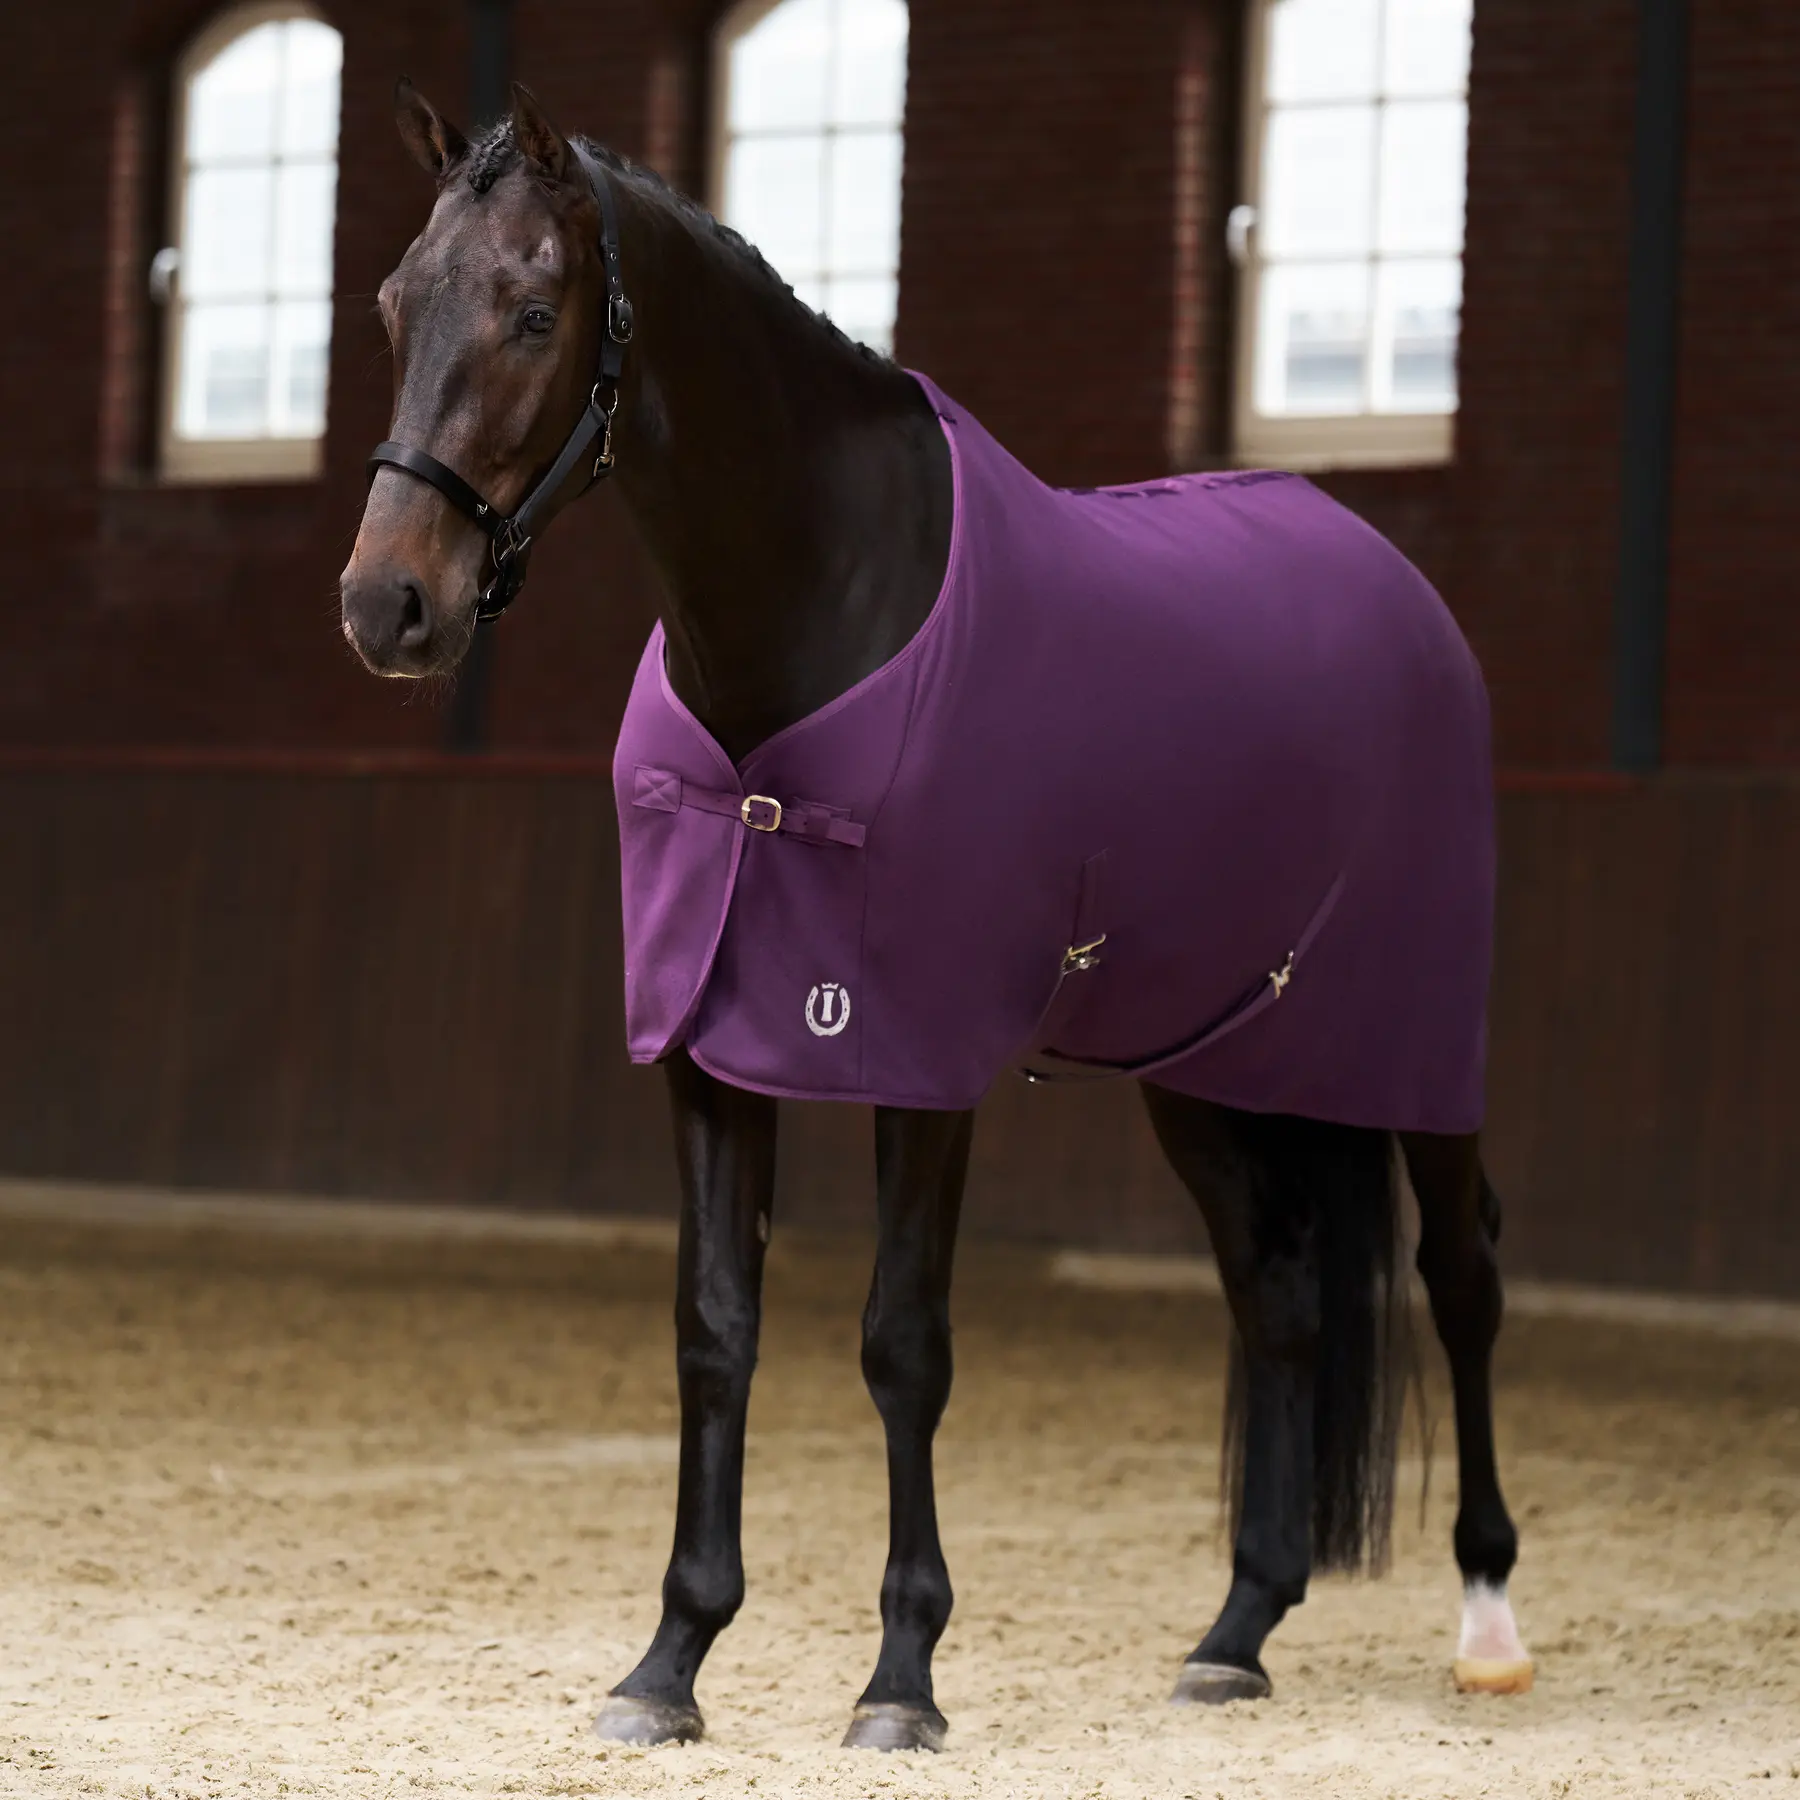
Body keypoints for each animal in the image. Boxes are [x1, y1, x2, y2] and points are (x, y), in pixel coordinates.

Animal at [340, 80, 1534, 1753]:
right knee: (1282, 1292)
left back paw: (1488, 1618)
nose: (388, 607)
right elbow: (715, 1328)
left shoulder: (921, 1062)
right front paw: (670, 1662)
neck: (825, 610)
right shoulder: (704, 1052)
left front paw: (901, 1677)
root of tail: (1400, 592)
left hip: (1415, 1050)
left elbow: (902, 1344)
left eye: (530, 310)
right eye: (396, 304)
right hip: (1205, 1062)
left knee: (1463, 1274)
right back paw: (1236, 1630)